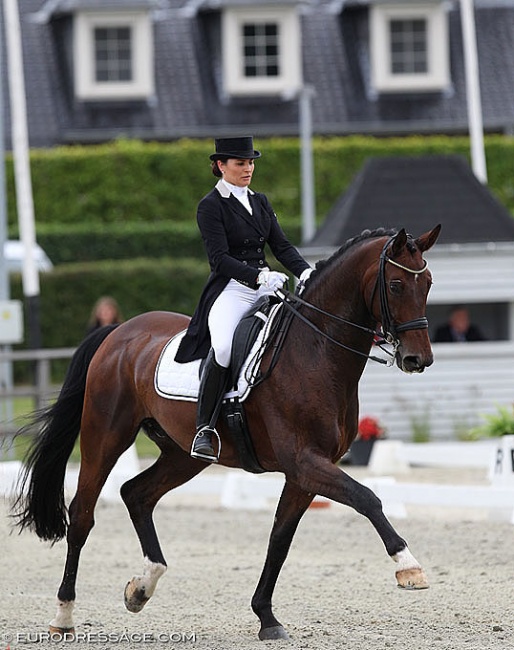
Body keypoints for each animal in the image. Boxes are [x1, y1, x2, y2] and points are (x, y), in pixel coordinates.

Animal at [13, 225, 436, 640]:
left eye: (428, 282)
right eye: (396, 284)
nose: (418, 359)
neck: (316, 351)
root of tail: (119, 331)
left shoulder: (304, 473)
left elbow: (280, 538)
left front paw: (266, 617)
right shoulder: (304, 462)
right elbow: (367, 498)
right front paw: (408, 566)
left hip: (183, 455)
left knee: (136, 494)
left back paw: (142, 587)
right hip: (104, 437)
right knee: (82, 516)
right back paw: (64, 616)